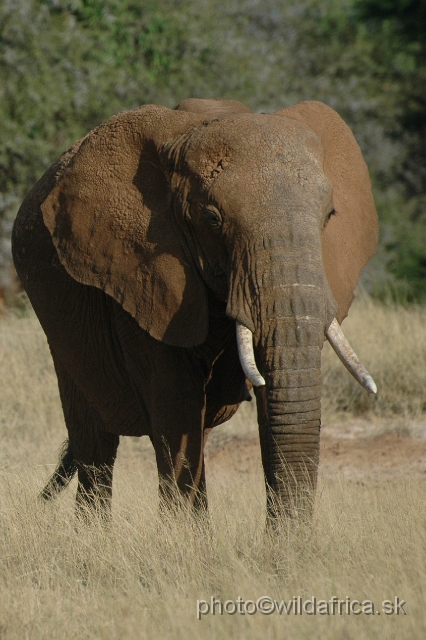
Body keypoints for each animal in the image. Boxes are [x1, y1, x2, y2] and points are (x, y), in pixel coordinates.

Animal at [12, 99, 380, 520]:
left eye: (330, 216)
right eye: (212, 219)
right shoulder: (140, 276)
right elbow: (176, 408)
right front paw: (180, 535)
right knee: (96, 443)